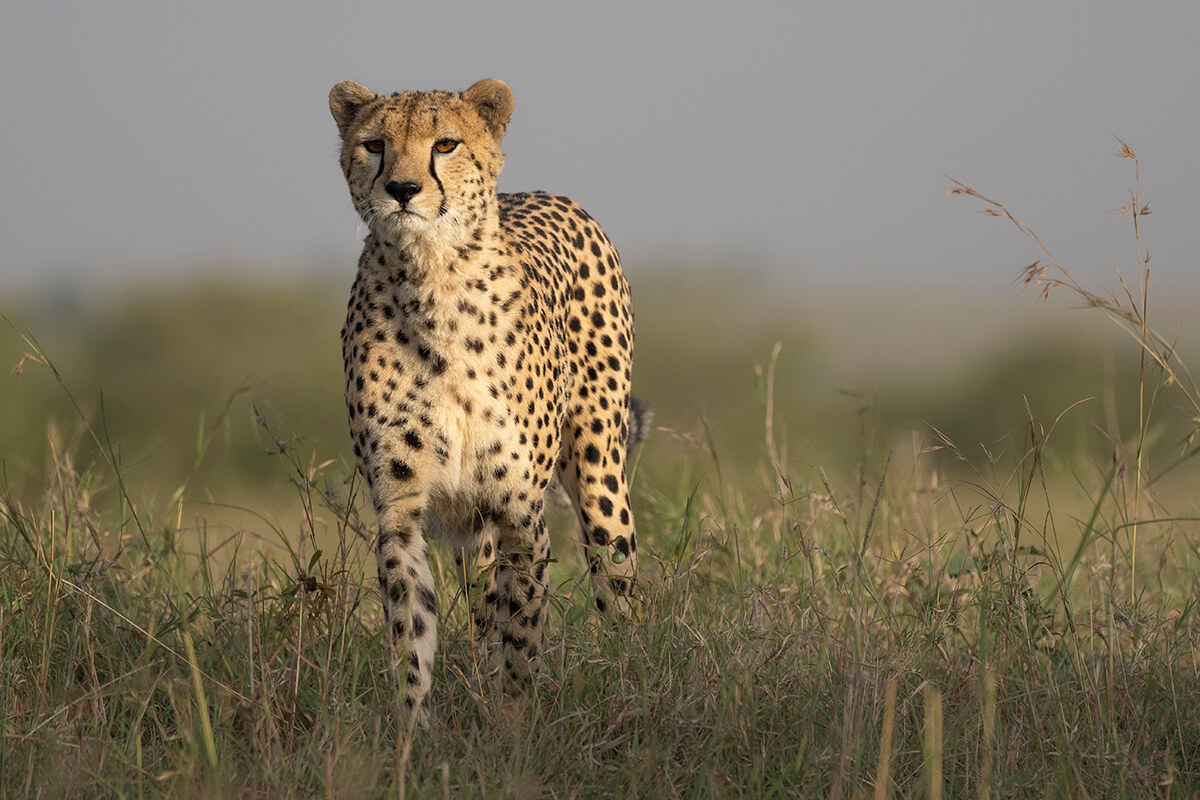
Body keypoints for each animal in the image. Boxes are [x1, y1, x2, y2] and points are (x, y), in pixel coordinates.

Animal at [328, 77, 645, 722]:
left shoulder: (521, 511)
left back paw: (635, 681)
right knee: (480, 602)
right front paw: (412, 733)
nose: (402, 190)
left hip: (600, 478)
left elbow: (522, 632)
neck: (432, 282)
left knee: (617, 581)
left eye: (445, 144)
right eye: (374, 145)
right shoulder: (400, 507)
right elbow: (411, 628)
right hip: (471, 529)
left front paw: (514, 727)